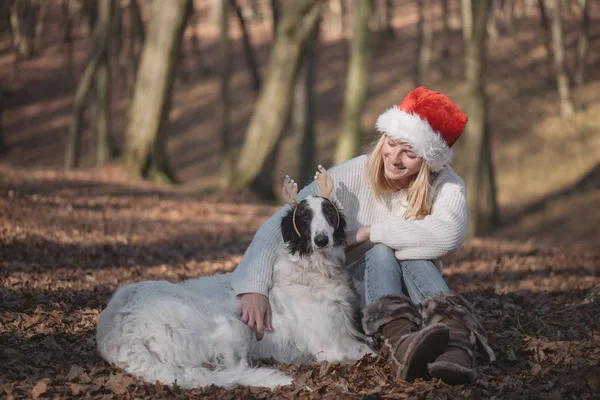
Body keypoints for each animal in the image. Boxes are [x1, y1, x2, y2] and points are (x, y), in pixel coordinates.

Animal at [96, 170, 372, 390]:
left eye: (329, 213)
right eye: (304, 217)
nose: (322, 240)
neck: (312, 268)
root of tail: (115, 332)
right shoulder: (333, 345)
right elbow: (369, 351)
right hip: (234, 324)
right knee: (233, 370)